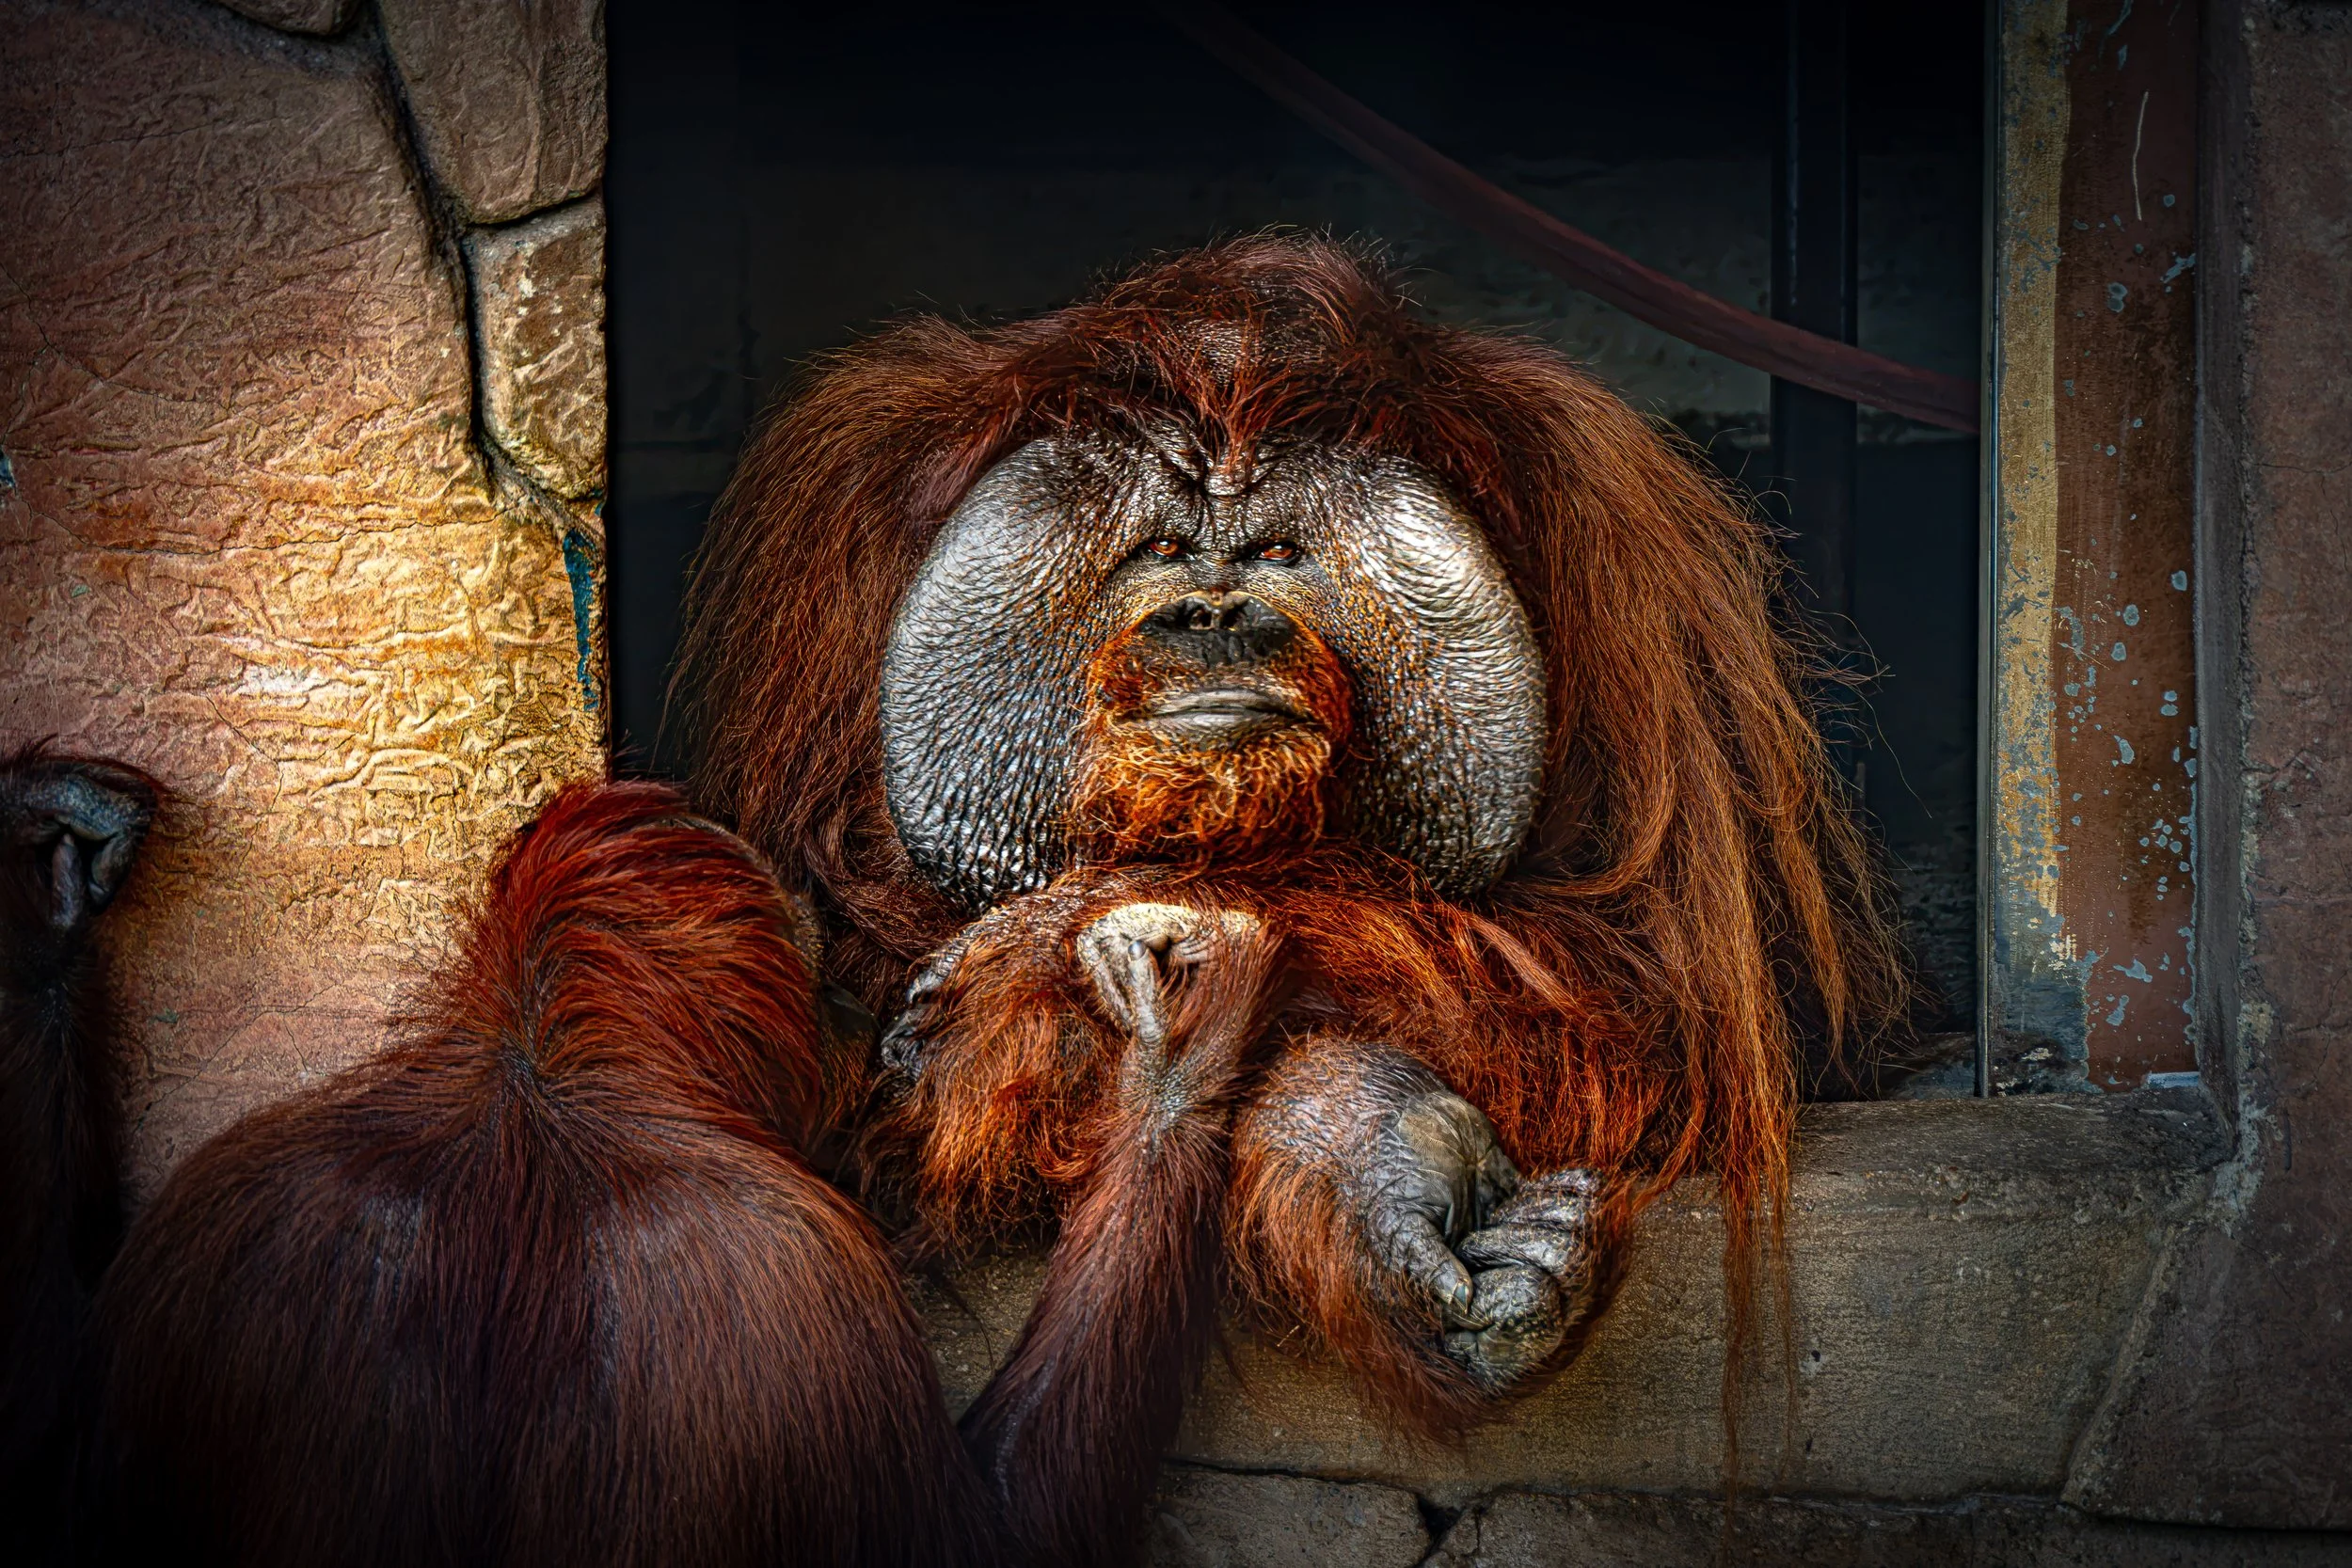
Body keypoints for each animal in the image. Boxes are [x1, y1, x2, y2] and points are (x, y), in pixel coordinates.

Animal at [674, 234, 1907, 1545]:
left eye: (1272, 554)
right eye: (1164, 552)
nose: (1214, 612)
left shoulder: (1615, 532)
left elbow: (1666, 975)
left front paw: (1332, 1124)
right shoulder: (841, 524)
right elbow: (837, 930)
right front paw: (1348, 1136)